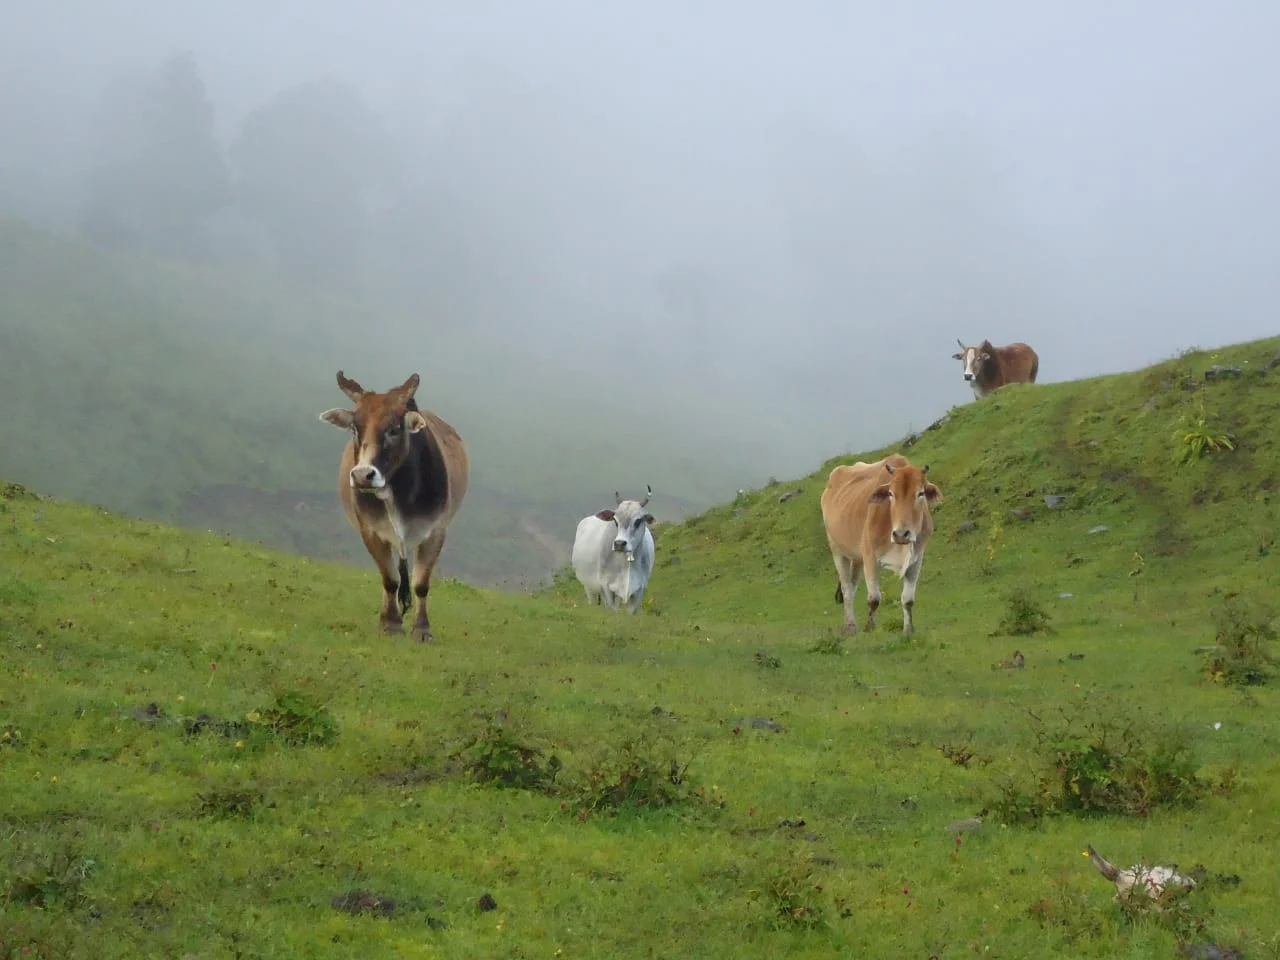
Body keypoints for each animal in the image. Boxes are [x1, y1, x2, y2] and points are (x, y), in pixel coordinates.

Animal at [318, 370, 469, 642]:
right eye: (355, 427)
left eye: (394, 429)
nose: (362, 475)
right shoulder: (370, 530)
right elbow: (389, 580)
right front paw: (391, 623)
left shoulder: (436, 531)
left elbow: (421, 584)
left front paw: (422, 629)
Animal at [820, 454, 942, 636]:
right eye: (891, 493)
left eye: (920, 493)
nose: (901, 534)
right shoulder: (870, 557)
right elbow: (874, 599)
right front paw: (869, 628)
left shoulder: (916, 559)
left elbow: (908, 599)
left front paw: (908, 630)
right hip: (837, 550)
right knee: (846, 589)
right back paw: (850, 626)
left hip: (856, 558)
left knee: (852, 586)